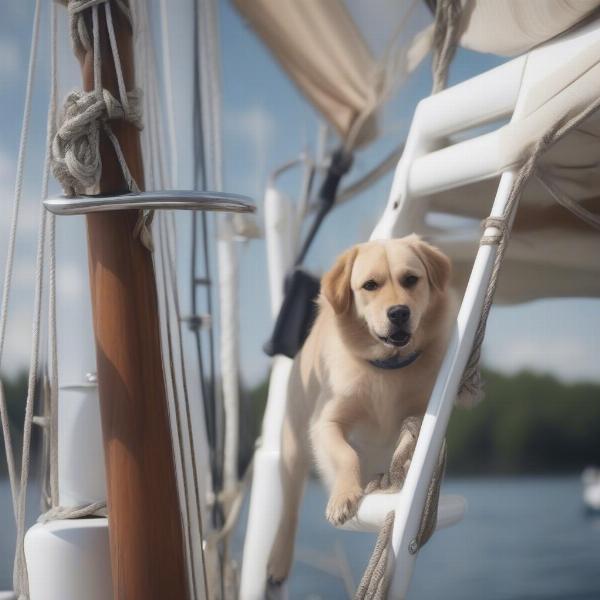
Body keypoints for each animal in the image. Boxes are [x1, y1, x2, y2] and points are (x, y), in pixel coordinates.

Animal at [268, 233, 454, 580]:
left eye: (411, 279)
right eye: (370, 285)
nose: (399, 312)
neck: (387, 369)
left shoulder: (424, 413)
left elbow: (410, 438)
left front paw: (408, 462)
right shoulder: (326, 423)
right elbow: (346, 454)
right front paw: (343, 498)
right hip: (292, 448)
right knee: (289, 509)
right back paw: (278, 561)